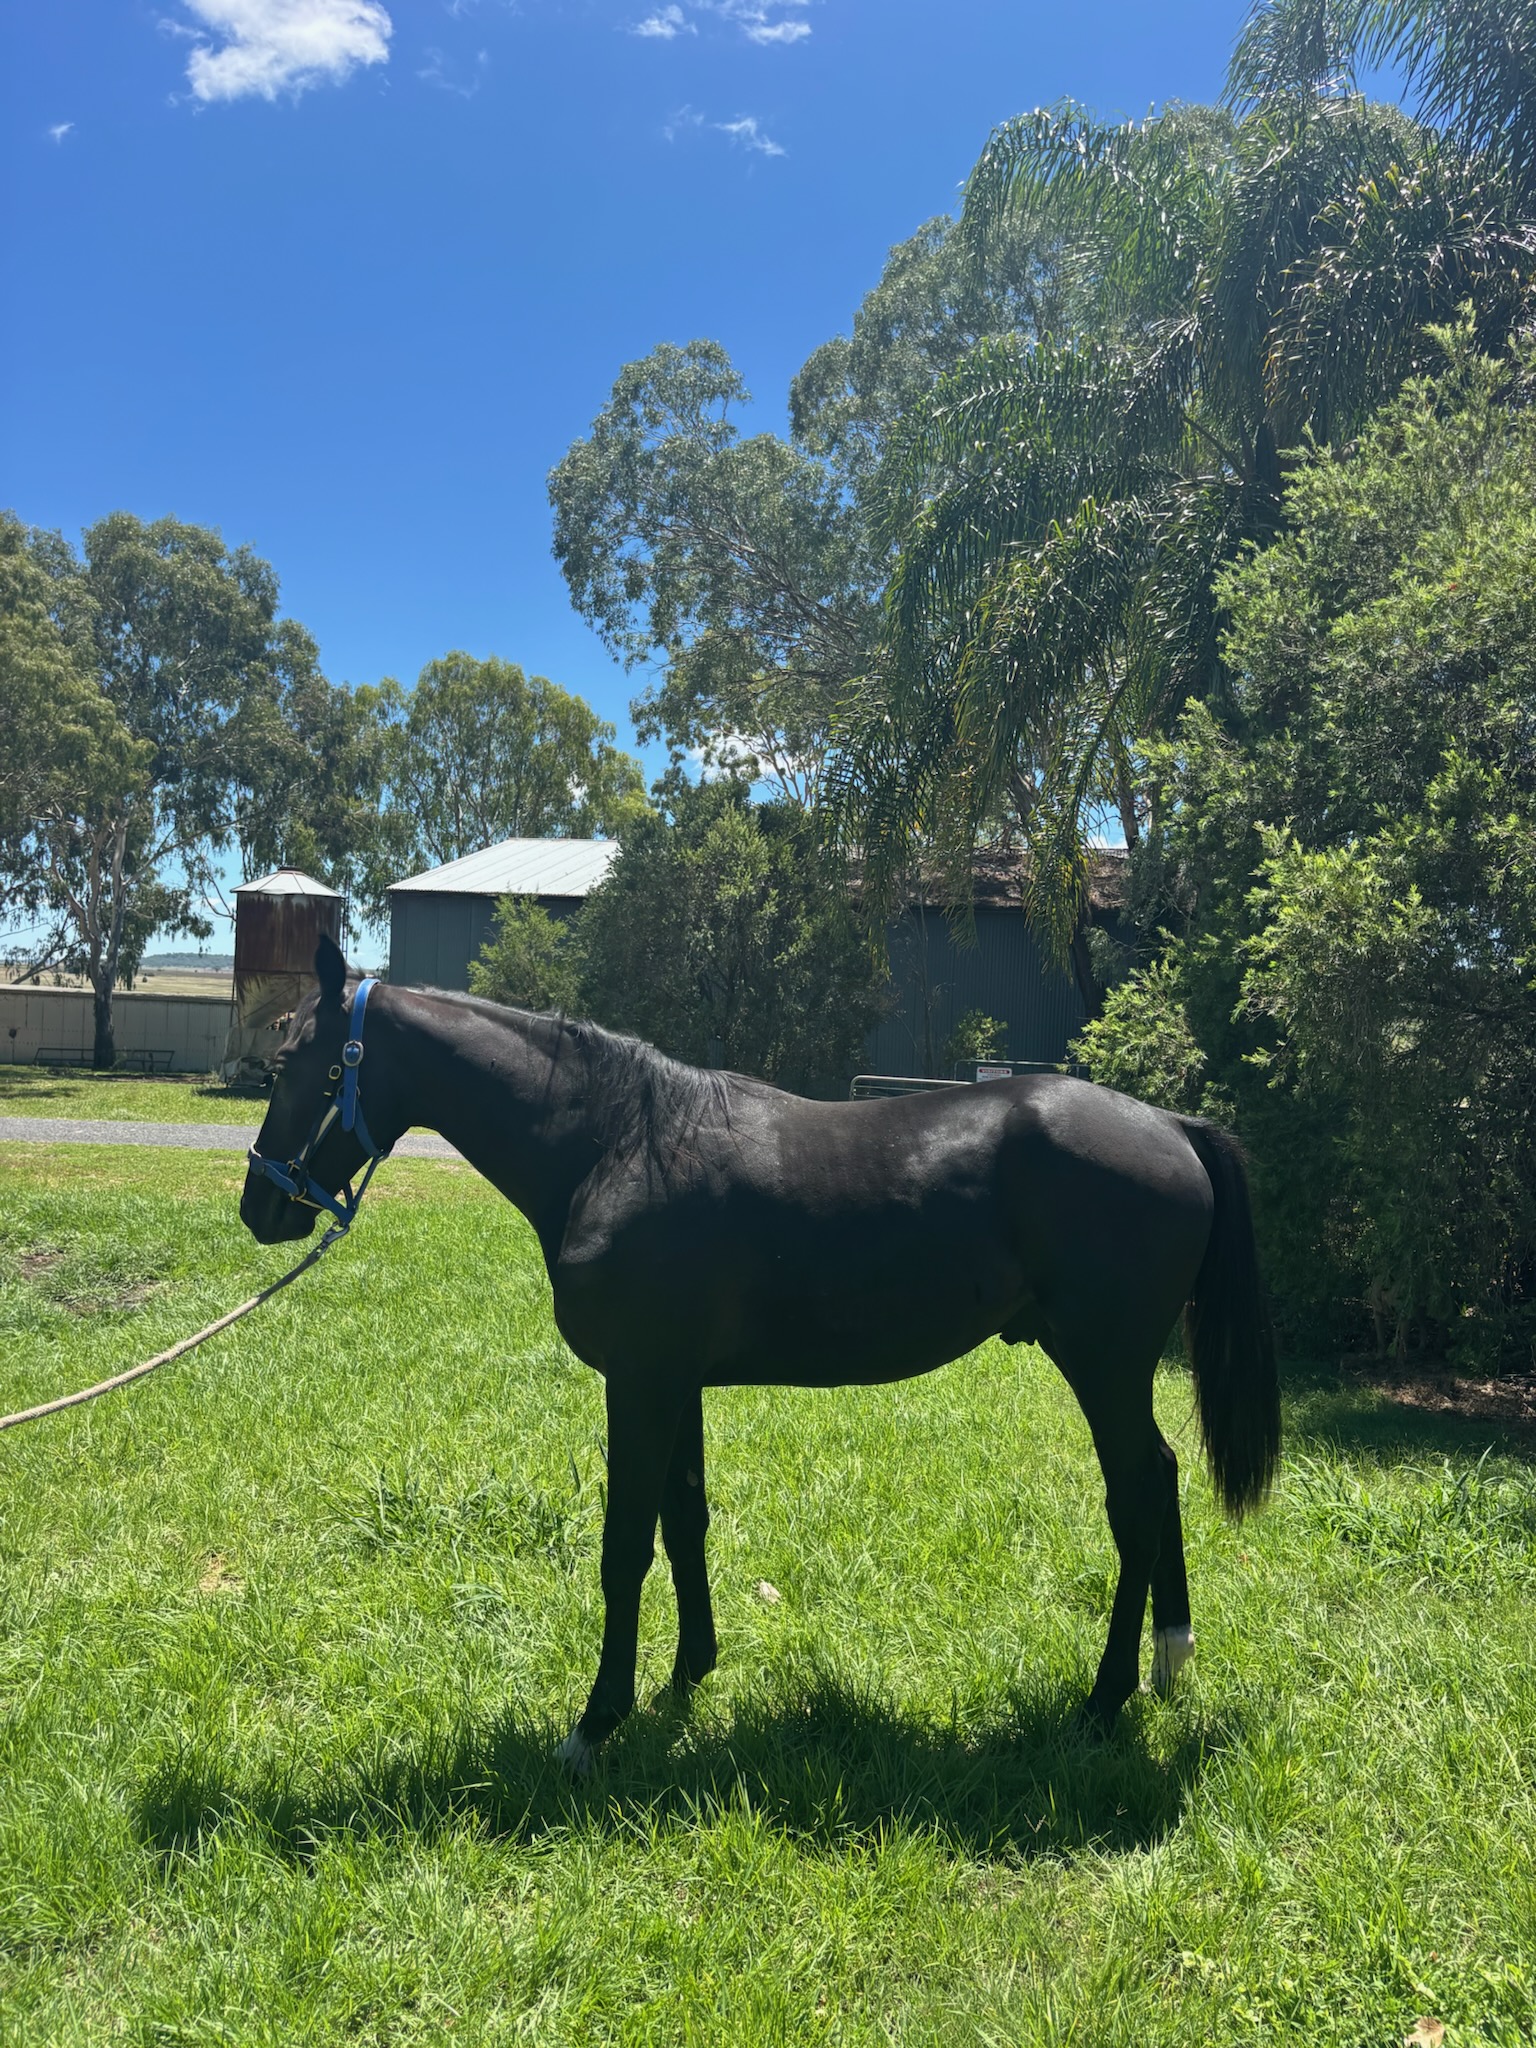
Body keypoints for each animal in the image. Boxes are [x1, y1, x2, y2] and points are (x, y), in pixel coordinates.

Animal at [241, 934, 1279, 1772]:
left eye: (294, 1062)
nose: (259, 1207)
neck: (618, 1143)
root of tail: (1171, 1127)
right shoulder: (676, 1384)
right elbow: (684, 1523)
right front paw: (687, 1678)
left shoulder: (641, 1383)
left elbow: (625, 1545)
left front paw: (596, 1723)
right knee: (1163, 1475)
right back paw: (1170, 1658)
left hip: (1102, 1364)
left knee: (1136, 1497)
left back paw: (1104, 1702)